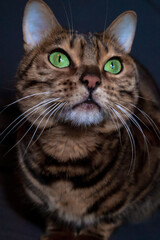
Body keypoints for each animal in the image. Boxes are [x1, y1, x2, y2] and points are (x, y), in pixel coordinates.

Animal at [13, 0, 160, 239]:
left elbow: (108, 216)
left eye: (113, 65)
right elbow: (54, 214)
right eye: (59, 58)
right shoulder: (40, 199)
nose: (92, 80)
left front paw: (91, 234)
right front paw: (59, 232)